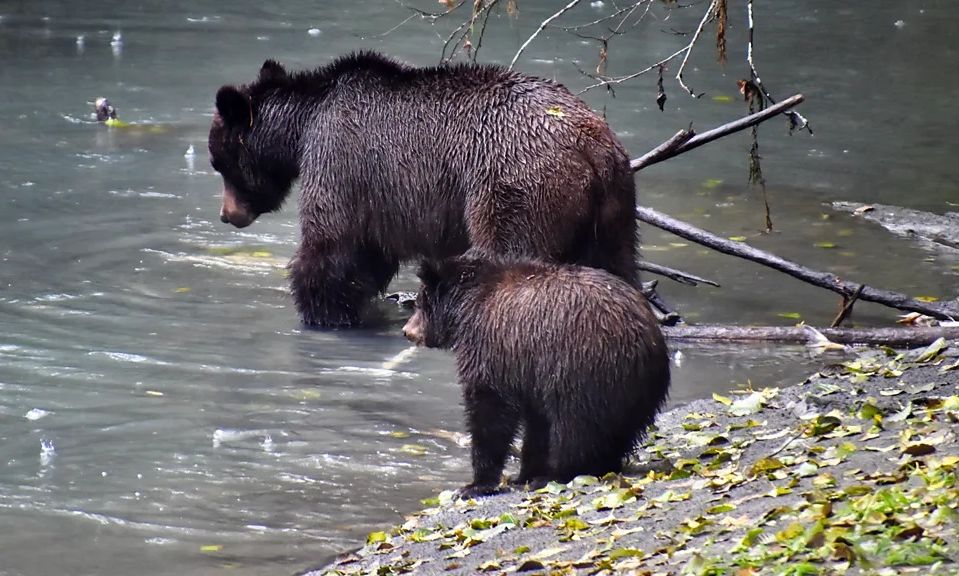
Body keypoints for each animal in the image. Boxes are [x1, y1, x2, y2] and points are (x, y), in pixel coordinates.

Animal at [211, 53, 644, 326]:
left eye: (219, 162)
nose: (227, 215)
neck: (303, 125)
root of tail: (592, 146)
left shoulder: (342, 158)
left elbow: (335, 243)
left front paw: (322, 310)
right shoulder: (381, 195)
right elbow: (369, 253)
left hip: (516, 183)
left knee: (507, 252)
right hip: (615, 208)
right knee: (617, 264)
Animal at [402, 254, 672, 498]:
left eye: (419, 302)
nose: (406, 331)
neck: (467, 309)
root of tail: (647, 340)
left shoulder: (494, 346)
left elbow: (490, 408)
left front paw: (475, 484)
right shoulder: (529, 369)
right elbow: (536, 421)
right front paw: (524, 473)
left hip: (584, 368)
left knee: (574, 428)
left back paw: (556, 475)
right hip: (638, 389)